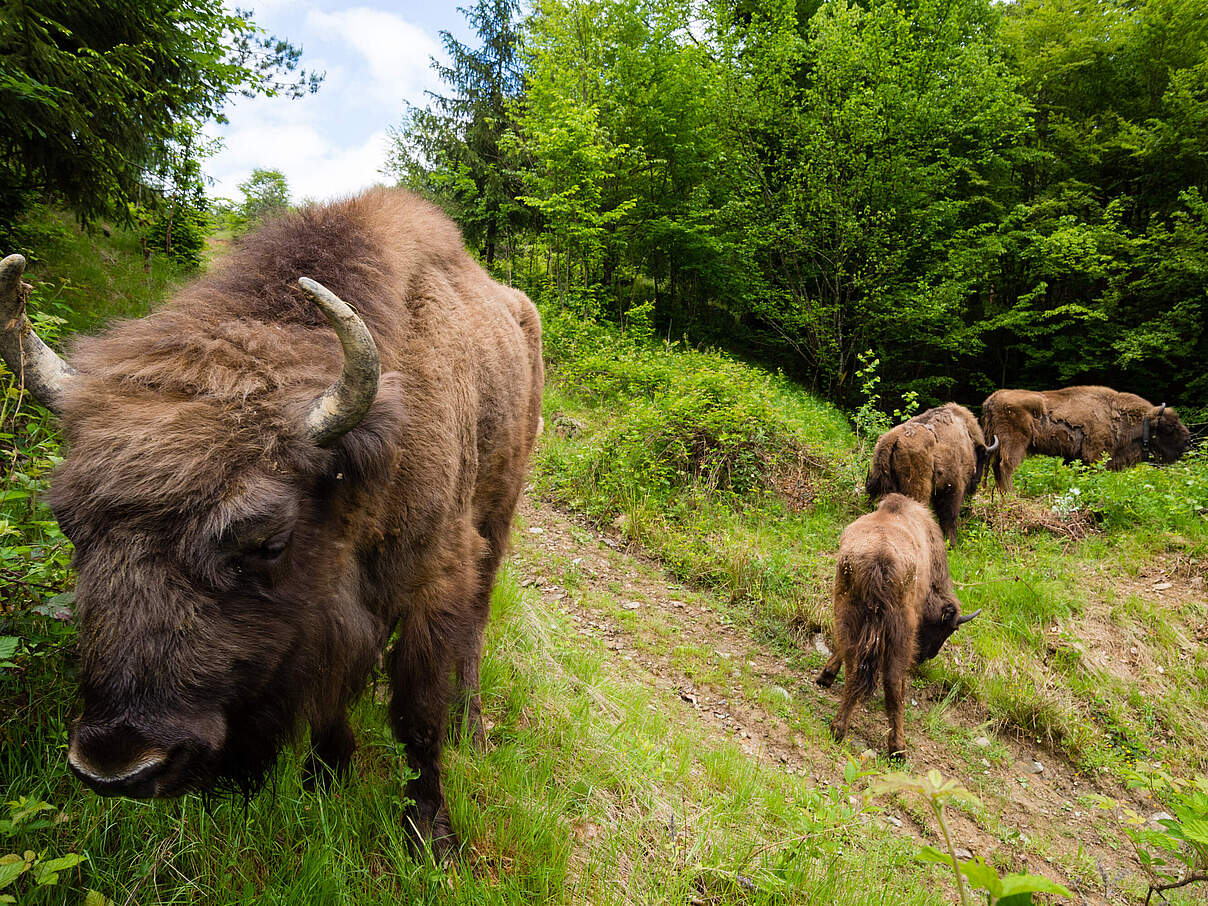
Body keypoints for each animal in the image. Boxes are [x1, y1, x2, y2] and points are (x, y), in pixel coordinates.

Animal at [0, 186, 543, 860]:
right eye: (69, 523)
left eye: (267, 540)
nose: (116, 763)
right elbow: (332, 698)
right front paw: (324, 778)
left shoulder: (435, 579)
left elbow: (418, 715)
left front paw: (431, 835)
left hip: (498, 515)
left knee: (476, 625)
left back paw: (472, 728)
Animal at [811, 497, 980, 758]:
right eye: (946, 629)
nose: (928, 655)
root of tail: (880, 564)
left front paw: (825, 677)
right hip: (900, 633)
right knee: (893, 682)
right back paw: (898, 749)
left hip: (848, 612)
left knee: (854, 667)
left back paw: (838, 728)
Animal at [869, 405, 1000, 546]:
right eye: (983, 455)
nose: (977, 481)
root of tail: (892, 440)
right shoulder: (954, 489)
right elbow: (950, 517)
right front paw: (952, 543)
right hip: (919, 490)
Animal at [980, 384, 1188, 492]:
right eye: (1169, 426)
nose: (1187, 441)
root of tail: (991, 400)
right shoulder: (1095, 456)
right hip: (1014, 445)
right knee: (1005, 467)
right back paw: (1011, 495)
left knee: (996, 469)